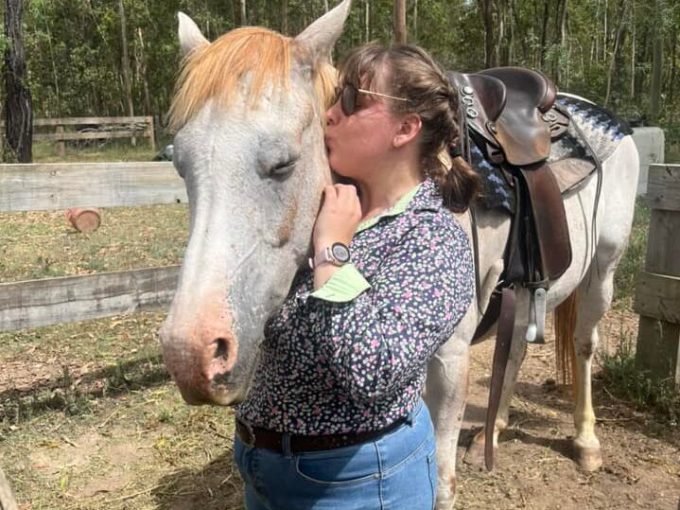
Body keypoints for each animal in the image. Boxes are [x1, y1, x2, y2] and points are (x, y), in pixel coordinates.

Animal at [159, 1, 640, 508]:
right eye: (181, 165)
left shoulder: (449, 361)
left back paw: (587, 441)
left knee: (585, 343)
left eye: (283, 164)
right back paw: (494, 431)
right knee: (515, 351)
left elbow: (442, 484)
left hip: (604, 270)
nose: (190, 354)